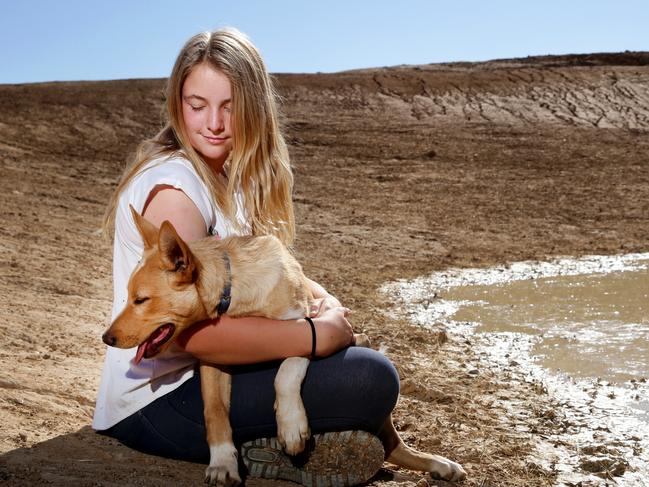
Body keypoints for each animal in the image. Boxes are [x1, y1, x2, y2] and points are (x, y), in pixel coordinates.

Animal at [101, 207, 466, 487]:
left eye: (141, 300)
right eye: (130, 296)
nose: (107, 339)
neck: (237, 290)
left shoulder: (305, 321)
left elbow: (287, 370)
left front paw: (291, 426)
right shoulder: (214, 361)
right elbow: (215, 412)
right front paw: (223, 462)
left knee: (395, 443)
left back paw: (439, 465)